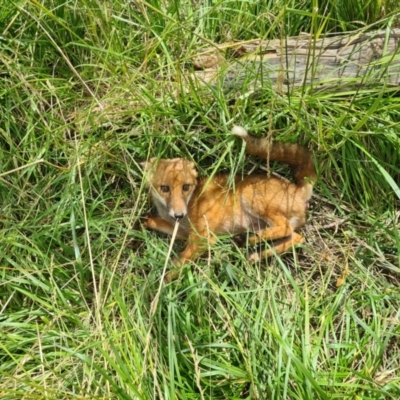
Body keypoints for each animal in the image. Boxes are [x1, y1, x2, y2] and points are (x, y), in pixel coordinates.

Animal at [141, 126, 316, 280]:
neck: (192, 201)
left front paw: (163, 284)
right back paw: (255, 253)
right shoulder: (183, 232)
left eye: (185, 187)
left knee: (284, 228)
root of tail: (297, 188)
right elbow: (159, 224)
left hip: (250, 196)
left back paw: (247, 240)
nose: (179, 214)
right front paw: (144, 221)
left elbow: (179, 262)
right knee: (296, 237)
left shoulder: (203, 238)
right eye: (164, 188)